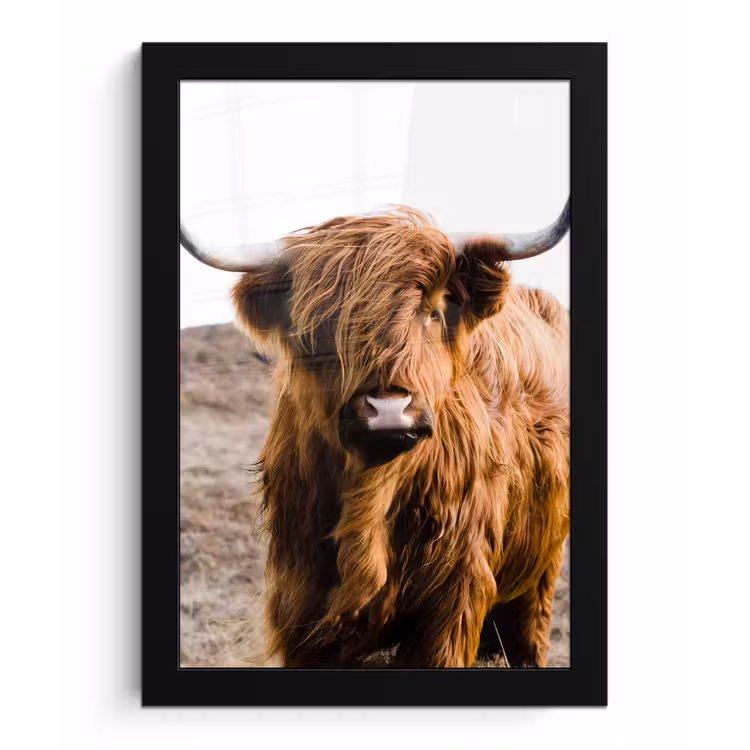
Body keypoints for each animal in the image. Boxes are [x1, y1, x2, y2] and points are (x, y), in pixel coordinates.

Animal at [180, 200, 570, 668]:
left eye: (432, 312)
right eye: (320, 326)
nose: (388, 410)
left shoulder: (454, 598)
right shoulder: (300, 601)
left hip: (540, 573)